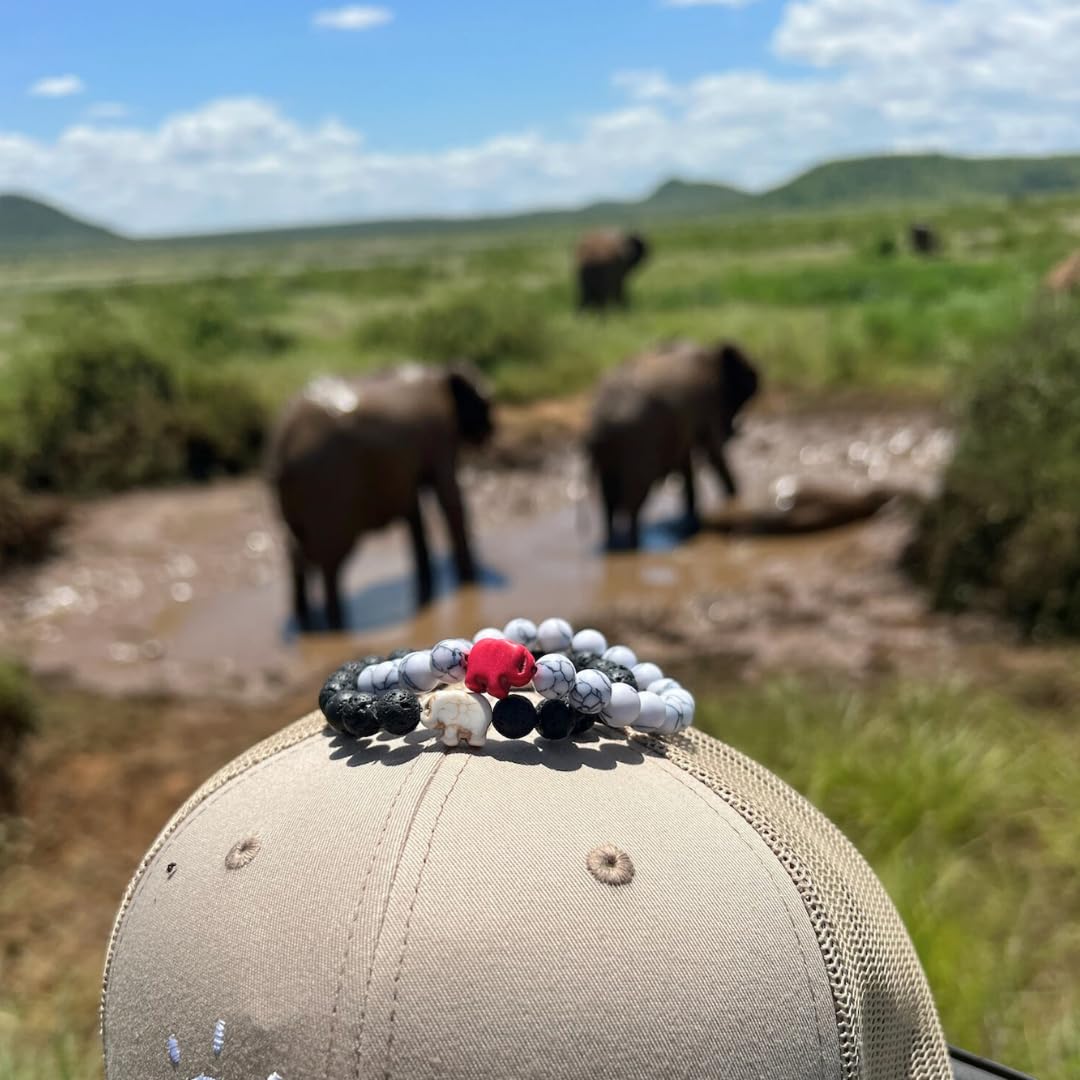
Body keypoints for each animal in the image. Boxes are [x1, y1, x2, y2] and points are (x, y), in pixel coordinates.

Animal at [267, 363, 493, 631]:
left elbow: (413, 510)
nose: (491, 431)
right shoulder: (440, 436)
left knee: (298, 551)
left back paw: (308, 623)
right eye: (487, 402)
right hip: (327, 487)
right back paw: (337, 626)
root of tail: (280, 446)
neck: (438, 372)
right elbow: (449, 497)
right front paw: (470, 582)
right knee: (328, 559)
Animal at [585, 339, 761, 550]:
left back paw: (612, 544)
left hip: (611, 449)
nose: (739, 427)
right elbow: (712, 452)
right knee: (633, 497)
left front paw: (693, 517)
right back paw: (635, 546)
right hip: (637, 442)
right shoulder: (709, 403)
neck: (712, 353)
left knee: (608, 499)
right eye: (744, 390)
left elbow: (687, 460)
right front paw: (735, 501)